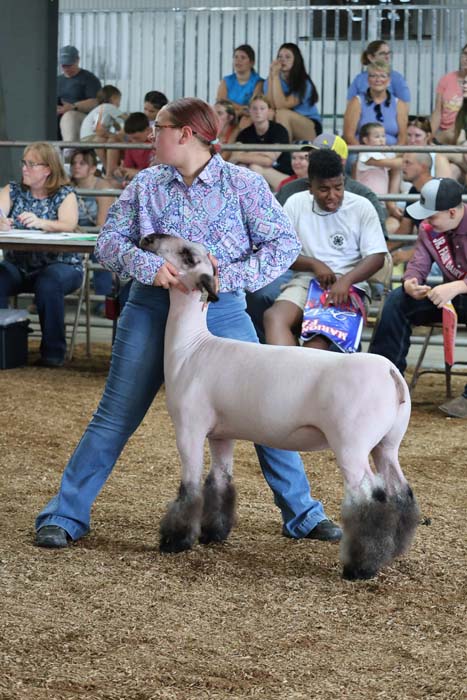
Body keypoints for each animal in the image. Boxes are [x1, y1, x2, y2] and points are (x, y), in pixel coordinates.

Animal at [141, 234, 419, 580]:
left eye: (188, 256)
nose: (149, 237)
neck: (192, 347)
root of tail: (391, 372)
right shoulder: (221, 434)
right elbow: (219, 481)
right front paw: (213, 533)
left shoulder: (188, 428)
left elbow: (190, 487)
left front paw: (175, 540)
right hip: (387, 443)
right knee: (401, 492)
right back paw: (393, 550)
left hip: (351, 444)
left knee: (370, 497)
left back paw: (360, 567)